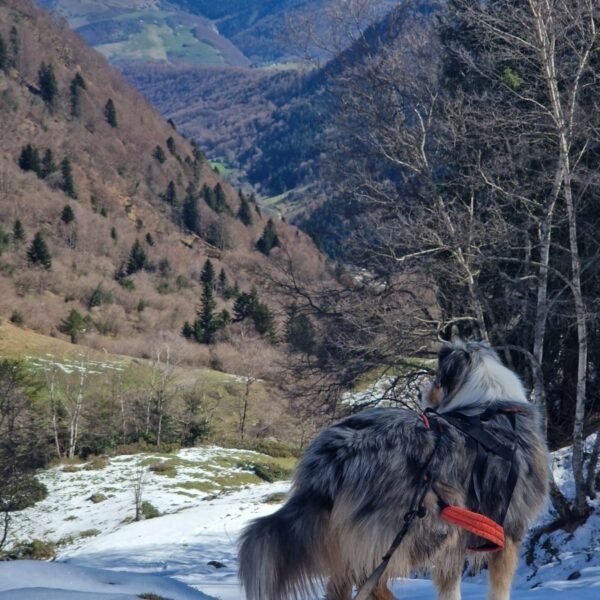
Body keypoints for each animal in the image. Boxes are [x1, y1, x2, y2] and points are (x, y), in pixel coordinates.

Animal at [238, 342, 548, 600]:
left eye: (436, 379)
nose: (423, 393)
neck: (489, 403)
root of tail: (336, 451)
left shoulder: (471, 541)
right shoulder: (507, 533)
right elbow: (497, 590)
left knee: (342, 582)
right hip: (417, 528)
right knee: (368, 577)